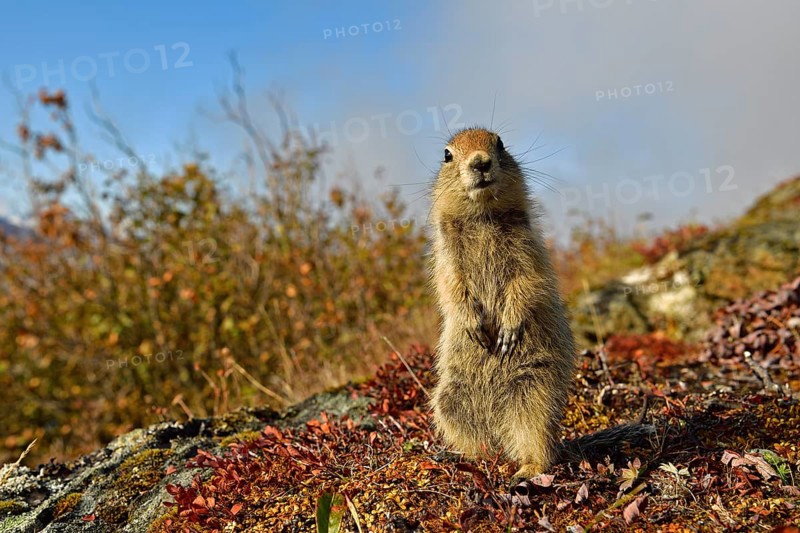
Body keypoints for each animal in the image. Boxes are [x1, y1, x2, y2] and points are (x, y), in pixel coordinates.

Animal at [428, 127, 654, 484]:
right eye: (447, 154)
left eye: (500, 143)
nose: (480, 162)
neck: (482, 216)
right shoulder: (446, 255)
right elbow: (451, 286)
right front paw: (475, 327)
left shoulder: (528, 248)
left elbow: (527, 281)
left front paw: (507, 331)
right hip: (449, 402)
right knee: (481, 443)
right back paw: (469, 459)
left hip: (533, 393)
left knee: (539, 444)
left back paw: (525, 468)